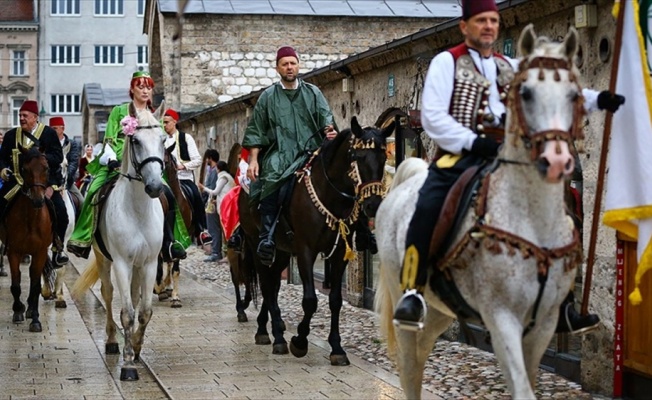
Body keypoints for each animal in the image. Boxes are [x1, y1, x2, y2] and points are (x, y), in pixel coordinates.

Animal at [0, 145, 52, 332]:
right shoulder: (13, 251)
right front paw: (17, 310)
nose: (38, 200)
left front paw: (35, 319)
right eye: (25, 169)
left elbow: (36, 286)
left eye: (46, 168)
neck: (31, 218)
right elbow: (16, 284)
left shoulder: (40, 252)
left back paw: (30, 308)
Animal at [71, 103, 167, 382]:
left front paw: (136, 347)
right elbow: (126, 313)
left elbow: (144, 311)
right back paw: (113, 341)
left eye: (163, 140)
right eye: (134, 140)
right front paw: (127, 364)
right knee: (108, 293)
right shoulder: (122, 263)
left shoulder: (149, 263)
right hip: (104, 259)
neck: (138, 211)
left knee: (133, 297)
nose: (155, 186)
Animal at [239, 117, 392, 364]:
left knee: (273, 283)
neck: (330, 194)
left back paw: (268, 327)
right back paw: (276, 336)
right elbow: (310, 300)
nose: (373, 205)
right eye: (358, 156)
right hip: (256, 245)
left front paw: (337, 348)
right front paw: (299, 341)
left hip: (282, 252)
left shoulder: (340, 254)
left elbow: (336, 300)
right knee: (266, 285)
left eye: (384, 157)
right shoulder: (305, 251)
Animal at [374, 25, 584, 400]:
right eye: (525, 92)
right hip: (405, 299)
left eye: (573, 93)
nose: (557, 160)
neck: (532, 220)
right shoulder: (501, 318)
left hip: (440, 308)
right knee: (409, 366)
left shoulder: (543, 323)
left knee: (423, 352)